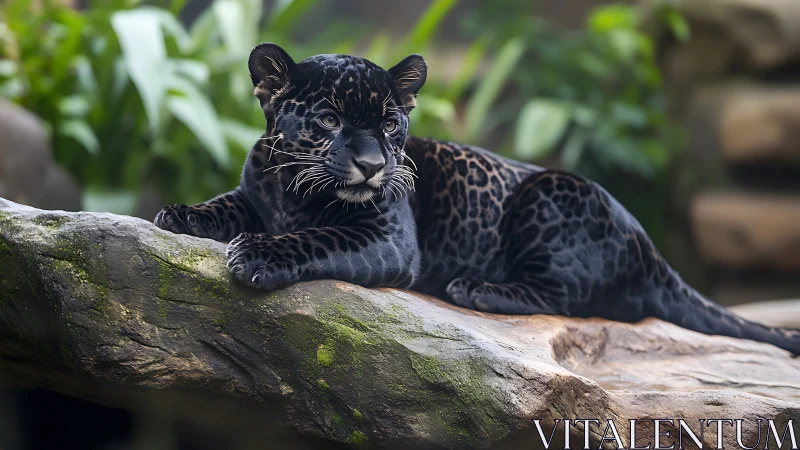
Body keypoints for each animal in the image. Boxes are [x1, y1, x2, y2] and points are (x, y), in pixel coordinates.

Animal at [154, 42, 800, 356]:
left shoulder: (385, 238)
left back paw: (475, 288)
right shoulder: (253, 194)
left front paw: (258, 255)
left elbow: (315, 235)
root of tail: (651, 248)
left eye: (390, 125)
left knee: (567, 298)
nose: (373, 165)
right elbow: (226, 205)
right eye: (331, 120)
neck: (292, 190)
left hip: (553, 194)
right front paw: (179, 215)